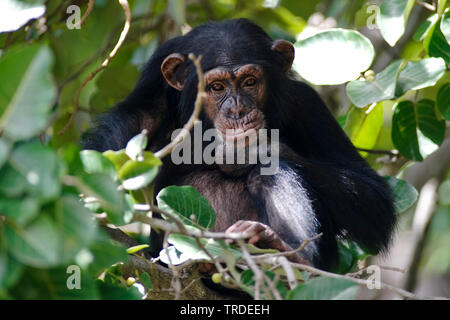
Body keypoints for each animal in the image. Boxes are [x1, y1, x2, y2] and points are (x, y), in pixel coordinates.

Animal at [82, 18, 396, 270]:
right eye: (217, 87)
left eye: (249, 82)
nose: (237, 110)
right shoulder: (151, 100)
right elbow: (118, 137)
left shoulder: (306, 103)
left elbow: (372, 198)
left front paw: (257, 150)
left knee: (271, 173)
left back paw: (290, 254)